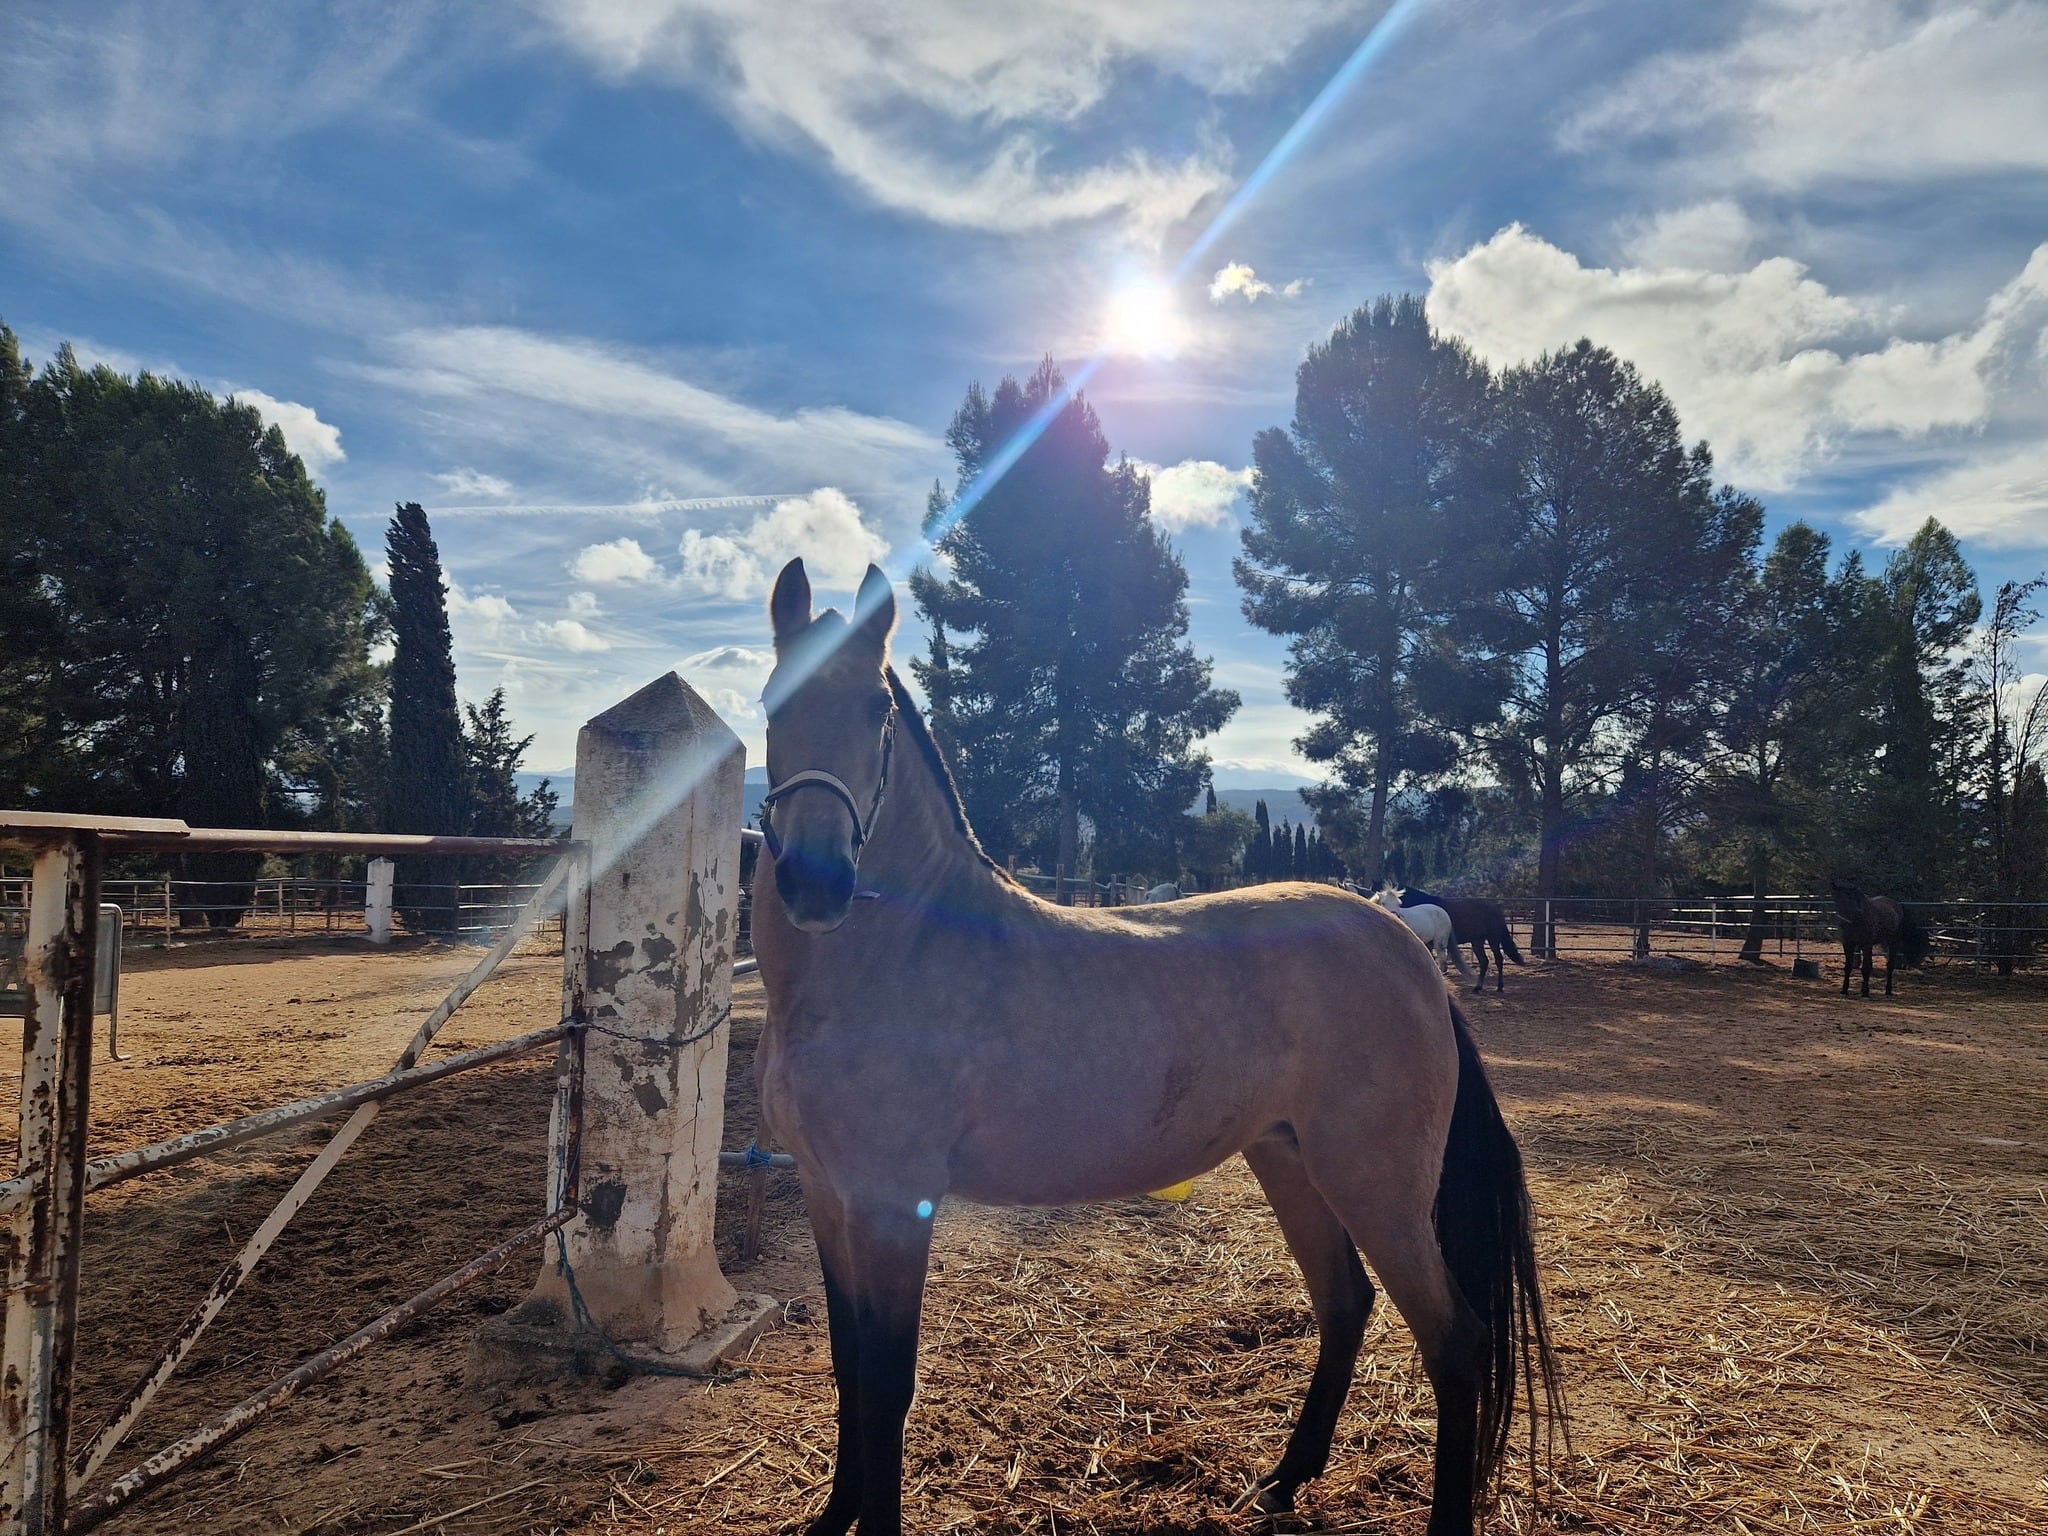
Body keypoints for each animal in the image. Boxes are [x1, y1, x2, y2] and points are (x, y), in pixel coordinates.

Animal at [752, 561, 1560, 1536]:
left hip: (1378, 1184)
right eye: (769, 700)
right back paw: (1282, 1481)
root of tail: (1406, 948)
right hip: (1289, 1160)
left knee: (1453, 1339)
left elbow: (886, 1387)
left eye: (876, 709)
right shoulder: (828, 1198)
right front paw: (831, 1518)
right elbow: (847, 1371)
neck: (893, 956)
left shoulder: (891, 1206)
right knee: (1345, 1304)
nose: (816, 883)